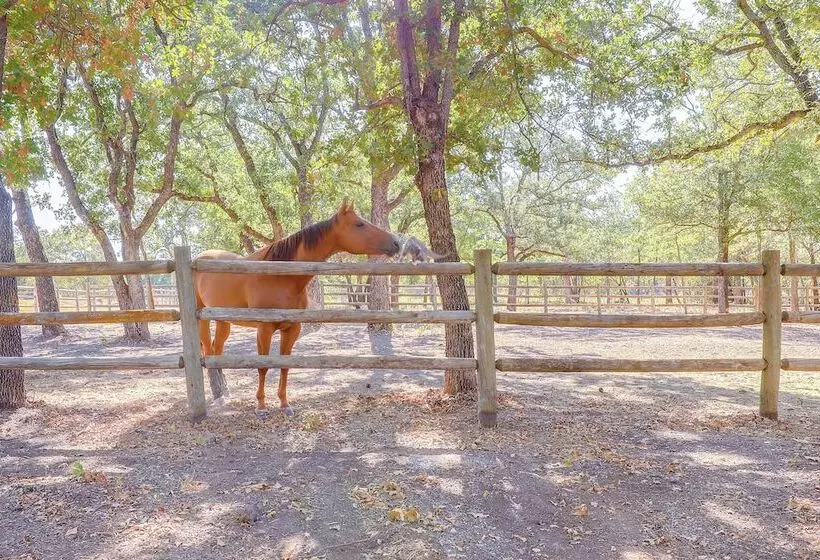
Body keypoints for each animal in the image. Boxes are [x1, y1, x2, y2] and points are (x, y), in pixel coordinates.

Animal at [193, 200, 400, 416]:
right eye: (359, 224)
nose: (396, 243)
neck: (280, 276)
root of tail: (197, 259)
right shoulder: (264, 330)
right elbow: (263, 367)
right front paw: (261, 407)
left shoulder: (292, 329)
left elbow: (285, 366)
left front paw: (285, 404)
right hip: (202, 320)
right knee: (207, 351)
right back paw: (218, 394)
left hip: (223, 321)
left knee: (216, 352)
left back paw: (224, 391)